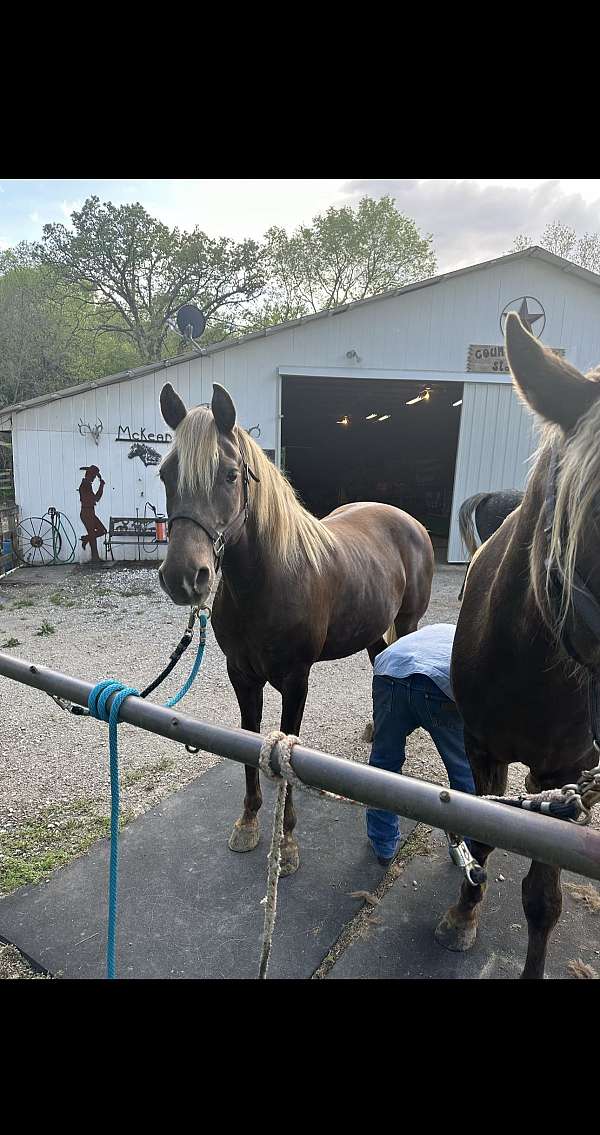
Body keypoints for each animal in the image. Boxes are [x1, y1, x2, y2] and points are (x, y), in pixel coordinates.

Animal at [156, 385, 433, 871]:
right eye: (165, 474)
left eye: (230, 475)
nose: (184, 577)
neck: (267, 583)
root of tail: (408, 521)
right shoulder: (242, 676)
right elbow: (249, 744)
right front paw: (248, 822)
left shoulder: (295, 681)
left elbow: (289, 748)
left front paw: (285, 842)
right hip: (373, 629)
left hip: (407, 623)